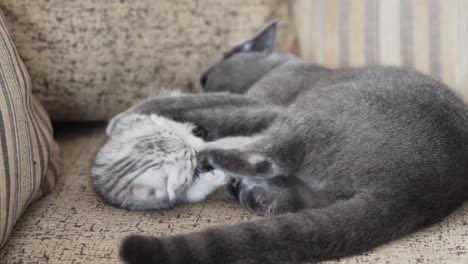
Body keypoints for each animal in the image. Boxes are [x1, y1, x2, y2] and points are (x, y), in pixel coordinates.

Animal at [118, 22, 468, 264]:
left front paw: (127, 116)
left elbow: (200, 102)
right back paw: (249, 193)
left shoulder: (261, 102)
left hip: (312, 111)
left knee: (271, 157)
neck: (283, 62)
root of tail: (412, 192)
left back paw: (211, 157)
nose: (198, 80)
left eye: (205, 77)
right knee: (293, 198)